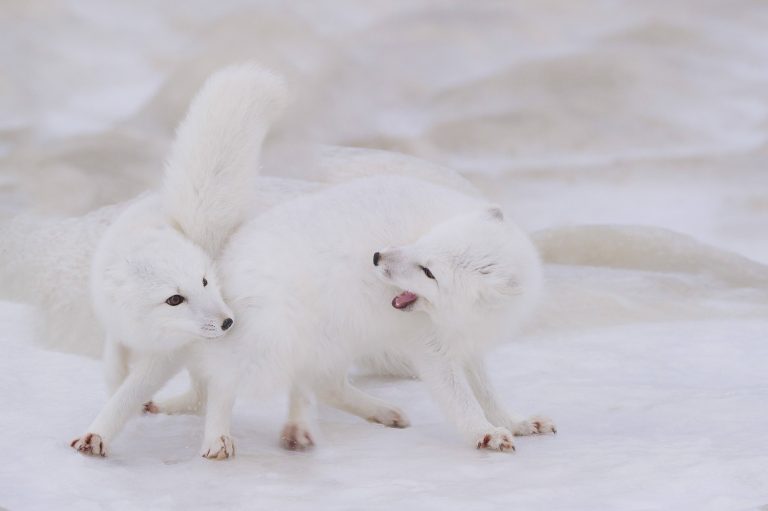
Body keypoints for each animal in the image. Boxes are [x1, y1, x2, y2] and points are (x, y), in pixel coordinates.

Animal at [66, 62, 286, 458]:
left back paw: (217, 439)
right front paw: (118, 396)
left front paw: (98, 432)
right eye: (174, 299)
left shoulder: (170, 355)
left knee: (213, 396)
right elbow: (113, 371)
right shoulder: (116, 327)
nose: (228, 321)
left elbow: (128, 392)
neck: (149, 330)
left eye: (204, 280)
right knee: (199, 396)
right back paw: (170, 408)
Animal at [156, 174, 556, 458]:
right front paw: (484, 433)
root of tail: (223, 261)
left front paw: (516, 422)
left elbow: (488, 394)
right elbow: (461, 399)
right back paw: (218, 436)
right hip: (273, 345)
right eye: (423, 243)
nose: (377, 257)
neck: (462, 318)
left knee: (324, 385)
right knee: (222, 379)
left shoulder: (468, 344)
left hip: (336, 338)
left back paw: (365, 416)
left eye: (428, 272)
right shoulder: (431, 348)